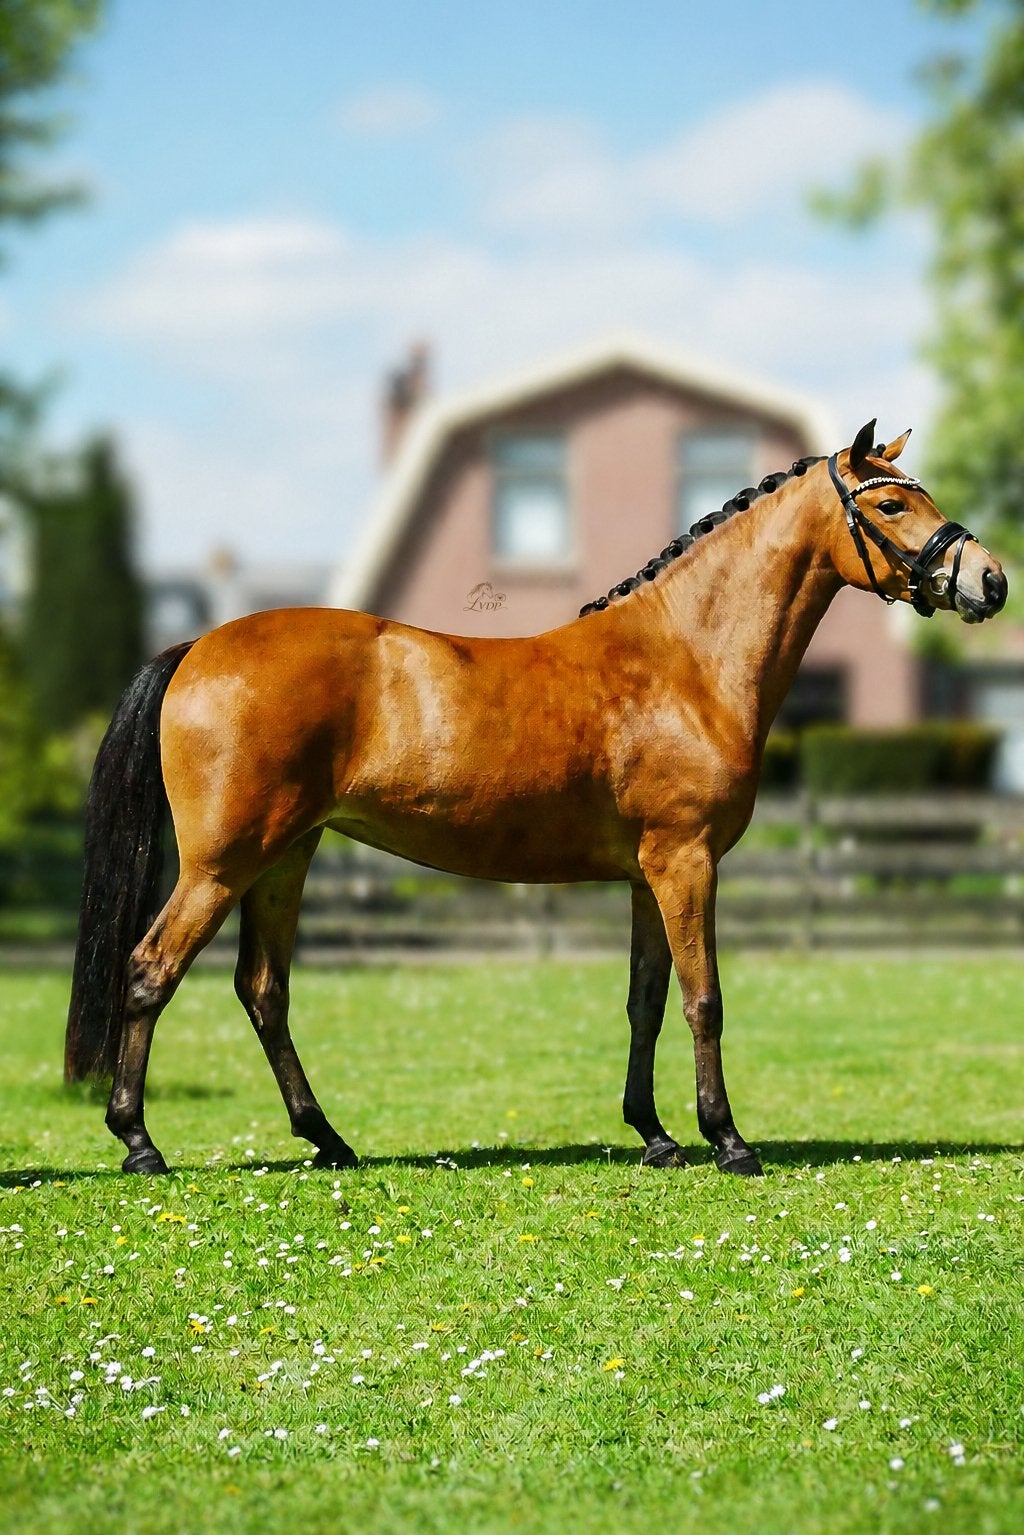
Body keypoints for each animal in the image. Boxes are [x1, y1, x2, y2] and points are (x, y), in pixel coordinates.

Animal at [64, 420, 1007, 1176]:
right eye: (893, 505)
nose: (991, 580)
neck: (686, 657)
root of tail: (196, 647)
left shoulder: (647, 874)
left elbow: (645, 1002)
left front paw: (655, 1135)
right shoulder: (686, 861)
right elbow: (704, 999)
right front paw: (728, 1140)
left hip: (284, 858)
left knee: (264, 991)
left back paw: (328, 1139)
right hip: (222, 865)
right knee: (150, 971)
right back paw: (139, 1143)